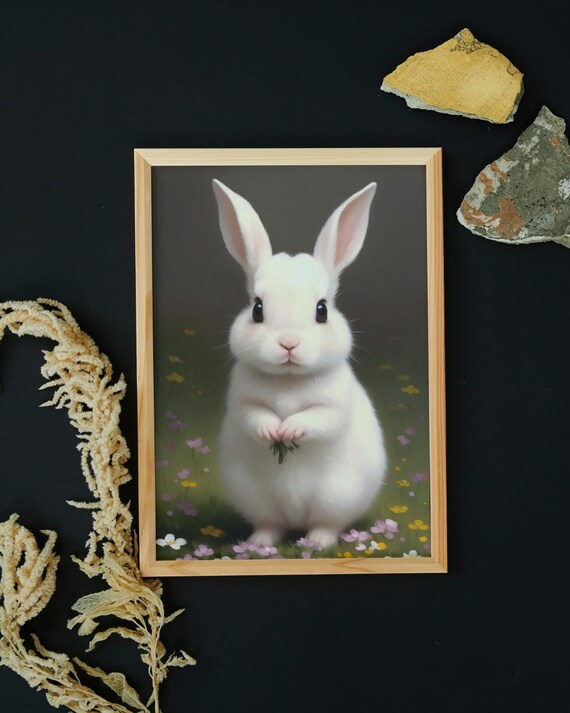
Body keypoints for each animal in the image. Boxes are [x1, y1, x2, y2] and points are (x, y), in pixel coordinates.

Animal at [212, 178, 386, 550]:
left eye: (322, 310)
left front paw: (288, 429)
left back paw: (318, 542)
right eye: (257, 309)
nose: (289, 343)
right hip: (255, 496)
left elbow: (320, 419)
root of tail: (295, 520)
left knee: (327, 523)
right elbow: (253, 416)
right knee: (270, 524)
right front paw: (272, 431)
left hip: (337, 496)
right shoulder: (242, 400)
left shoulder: (334, 404)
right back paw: (259, 543)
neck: (288, 380)